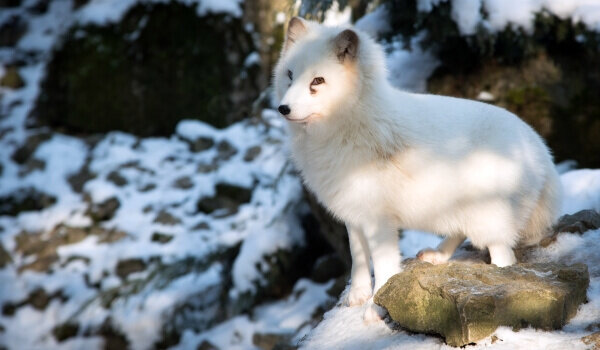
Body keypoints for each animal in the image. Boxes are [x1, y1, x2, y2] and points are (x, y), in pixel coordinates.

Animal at [274, 17, 564, 320]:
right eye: (290, 75)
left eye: (317, 81)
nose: (283, 108)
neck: (350, 125)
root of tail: (540, 149)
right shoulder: (352, 214)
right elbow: (358, 259)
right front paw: (357, 296)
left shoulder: (379, 221)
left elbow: (384, 266)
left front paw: (376, 308)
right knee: (460, 232)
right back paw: (437, 256)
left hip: (490, 219)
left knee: (504, 257)